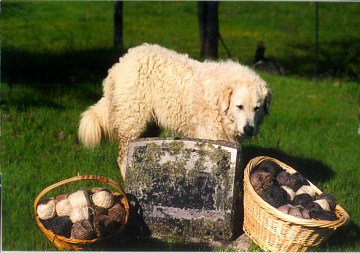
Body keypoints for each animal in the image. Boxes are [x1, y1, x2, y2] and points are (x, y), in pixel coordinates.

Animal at [78, 44, 270, 180]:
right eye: (239, 106)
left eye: (257, 108)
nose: (248, 129)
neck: (219, 100)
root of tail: (120, 63)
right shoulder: (211, 135)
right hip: (132, 119)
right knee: (123, 157)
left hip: (147, 124)